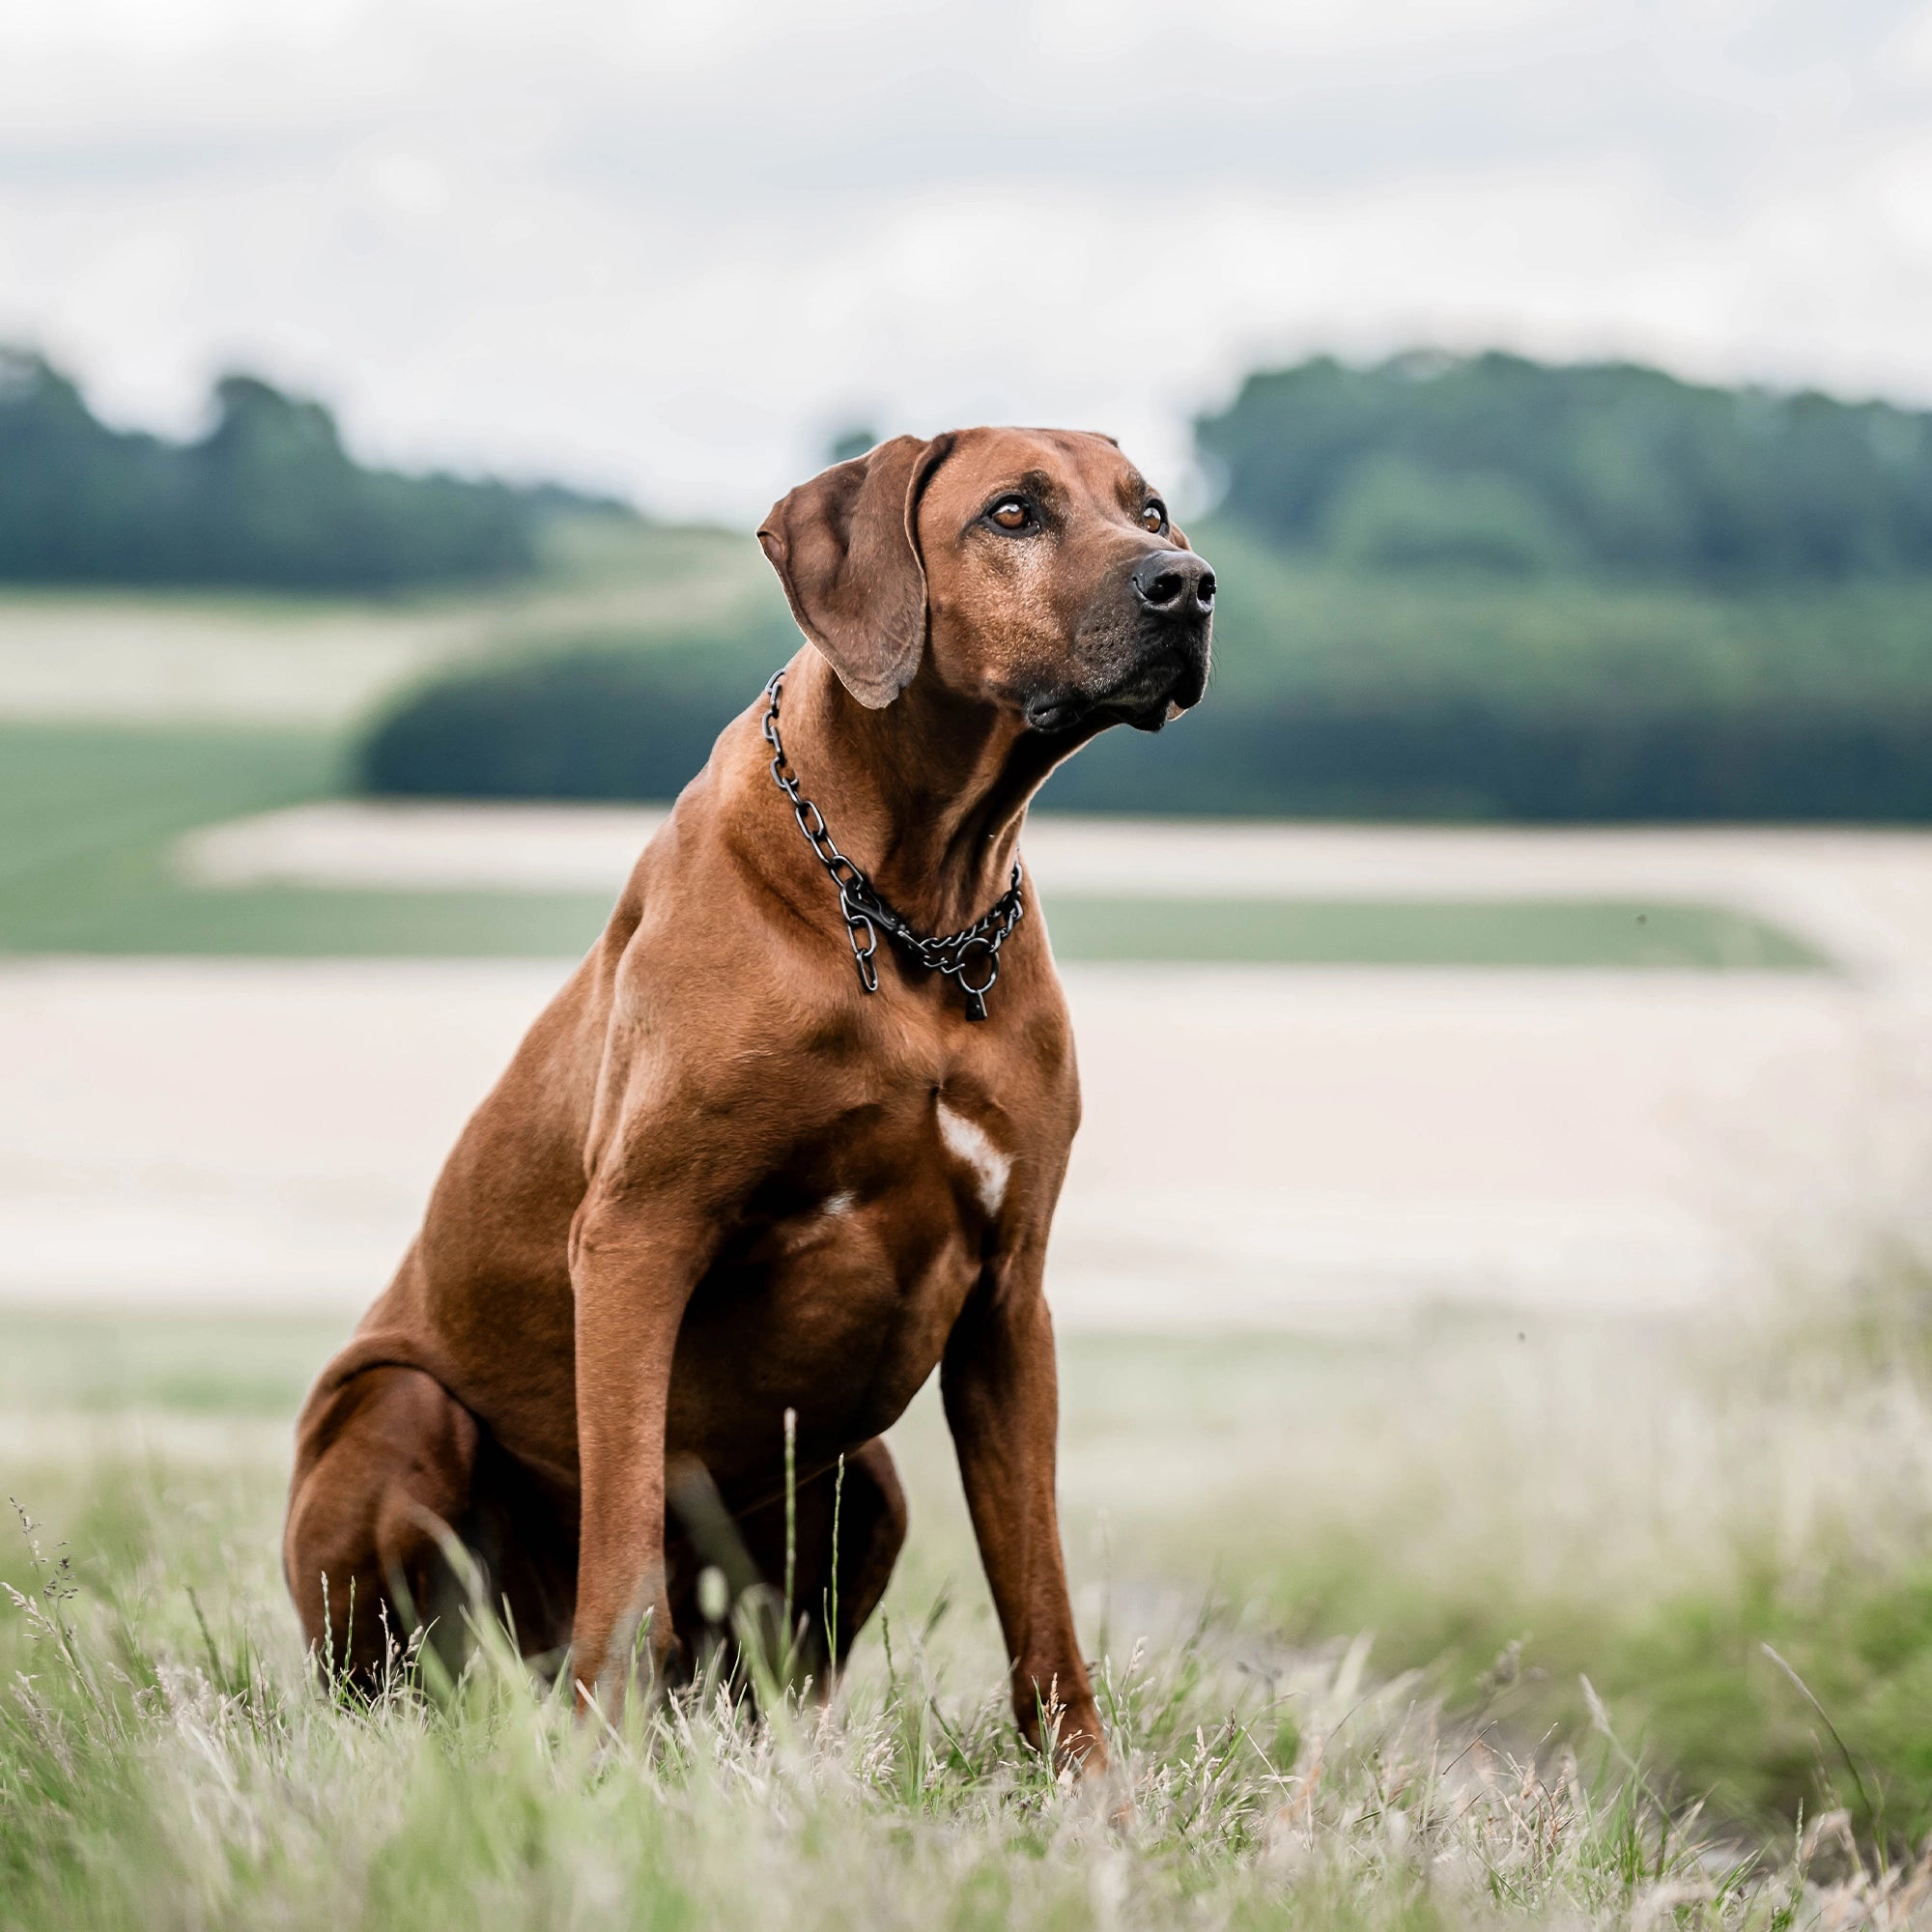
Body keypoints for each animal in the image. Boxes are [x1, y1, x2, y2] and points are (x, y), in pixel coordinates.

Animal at [280, 423, 1213, 1770]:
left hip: (868, 1480)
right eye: (1011, 512)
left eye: (1148, 508)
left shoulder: (1006, 1295)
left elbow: (1035, 1585)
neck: (913, 914)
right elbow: (625, 1530)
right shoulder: (637, 1236)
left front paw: (1085, 1787)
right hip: (396, 1408)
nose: (1186, 584)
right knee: (412, 1663)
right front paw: (597, 1751)